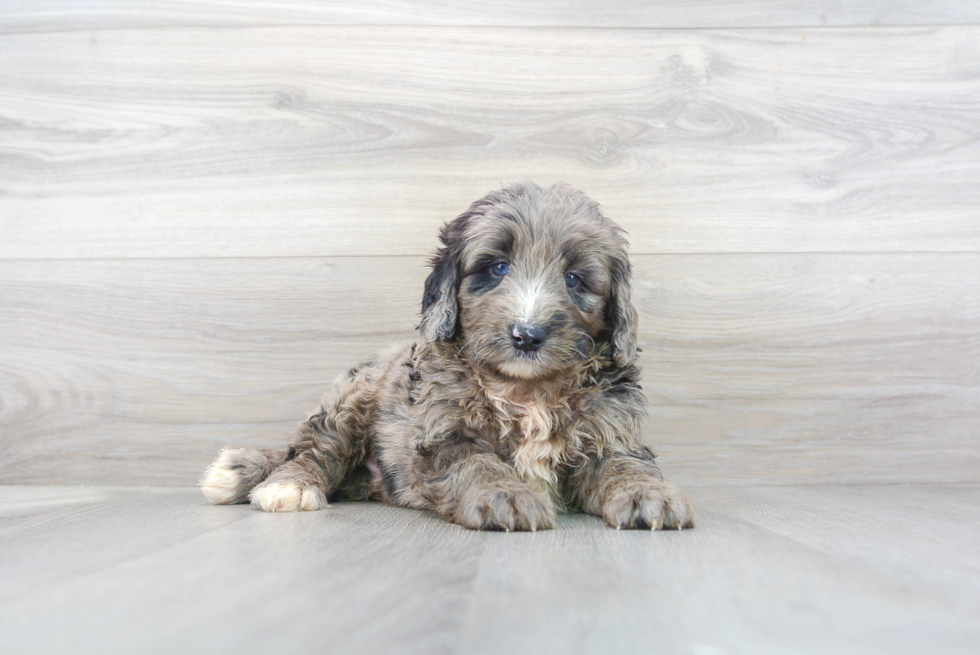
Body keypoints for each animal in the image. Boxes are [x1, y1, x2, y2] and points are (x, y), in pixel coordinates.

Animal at [199, 181, 692, 532]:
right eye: (496, 268)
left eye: (574, 279)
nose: (527, 335)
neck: (526, 388)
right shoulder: (443, 435)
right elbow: (477, 463)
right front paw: (506, 497)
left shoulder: (609, 433)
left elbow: (625, 464)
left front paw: (650, 494)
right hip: (351, 400)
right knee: (312, 446)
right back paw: (286, 485)